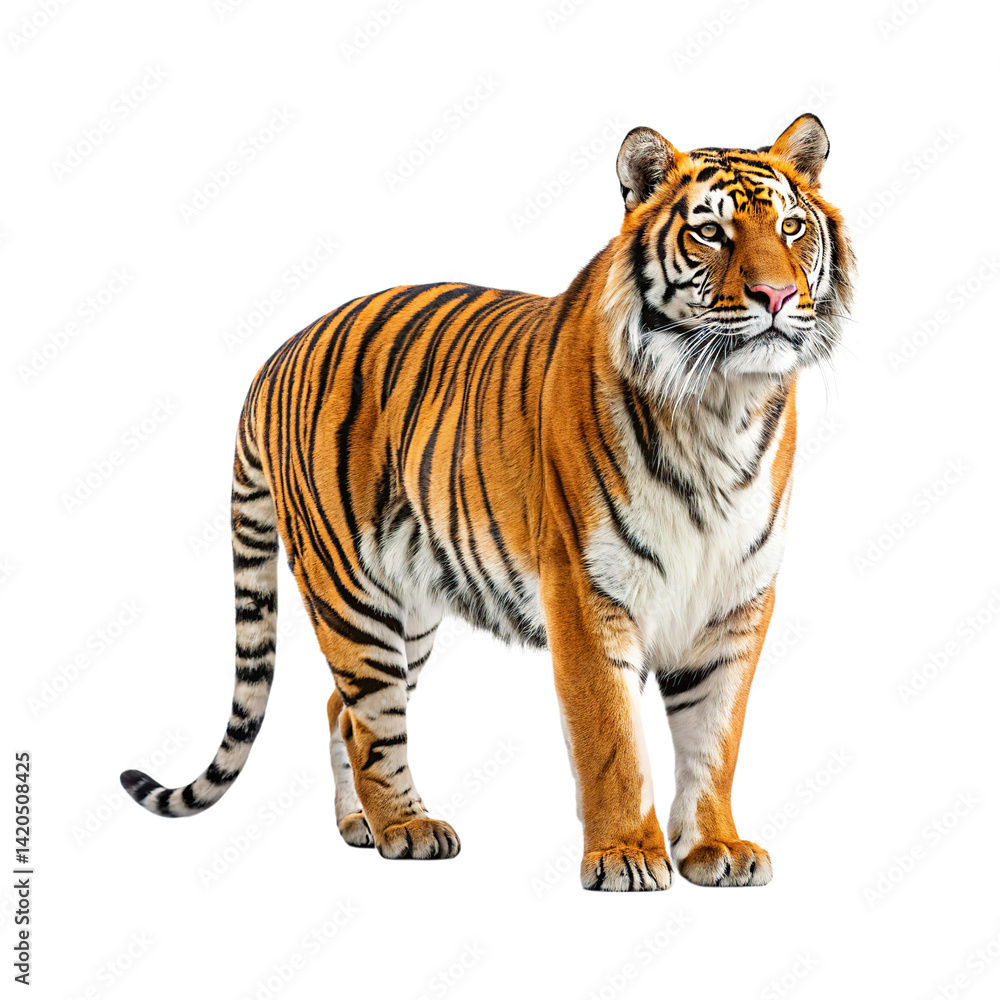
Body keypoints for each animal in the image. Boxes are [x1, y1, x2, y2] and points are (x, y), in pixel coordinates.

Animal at [120, 113, 854, 891]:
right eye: (711, 233)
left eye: (792, 226)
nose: (776, 297)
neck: (721, 405)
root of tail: (279, 351)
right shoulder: (586, 595)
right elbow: (613, 742)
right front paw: (626, 855)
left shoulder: (735, 601)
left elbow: (716, 737)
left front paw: (716, 847)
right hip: (351, 593)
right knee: (373, 720)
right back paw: (407, 828)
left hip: (409, 608)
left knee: (342, 712)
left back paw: (361, 826)